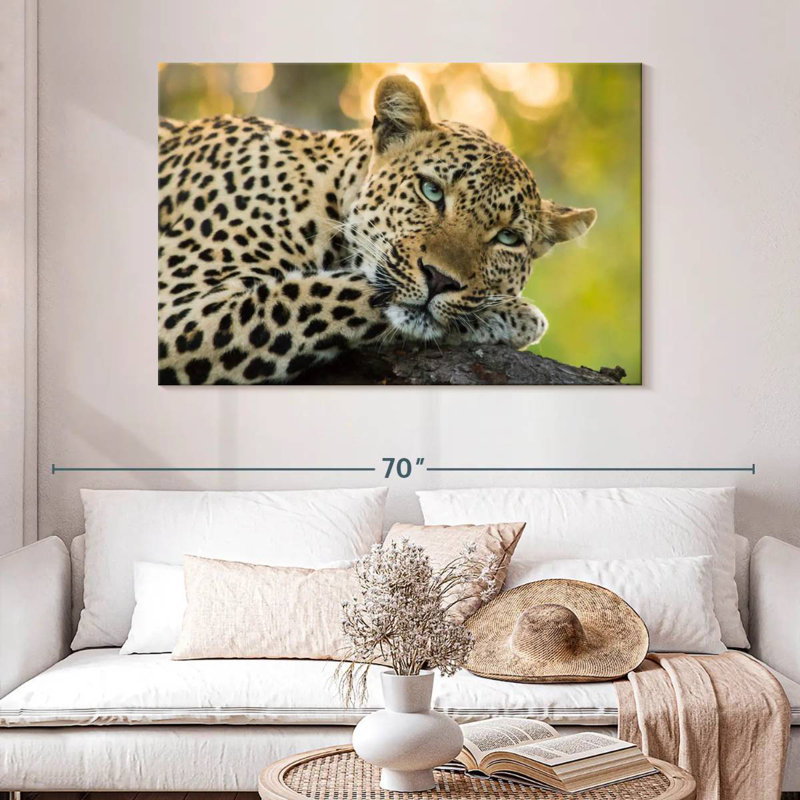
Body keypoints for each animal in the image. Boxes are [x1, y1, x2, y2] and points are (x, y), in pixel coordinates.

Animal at [158, 74, 596, 384]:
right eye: (431, 190)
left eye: (508, 238)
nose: (440, 280)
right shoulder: (179, 309)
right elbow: (328, 290)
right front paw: (515, 314)